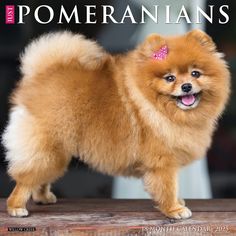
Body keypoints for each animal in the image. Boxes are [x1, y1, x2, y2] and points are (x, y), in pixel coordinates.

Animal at [1, 30, 230, 219]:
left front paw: (178, 202)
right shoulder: (162, 162)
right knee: (26, 179)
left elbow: (173, 187)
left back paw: (43, 197)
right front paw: (174, 209)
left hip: (57, 152)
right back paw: (16, 207)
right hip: (47, 149)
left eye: (195, 73)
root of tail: (38, 76)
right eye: (169, 78)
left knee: (41, 177)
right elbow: (168, 187)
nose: (186, 86)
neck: (158, 107)